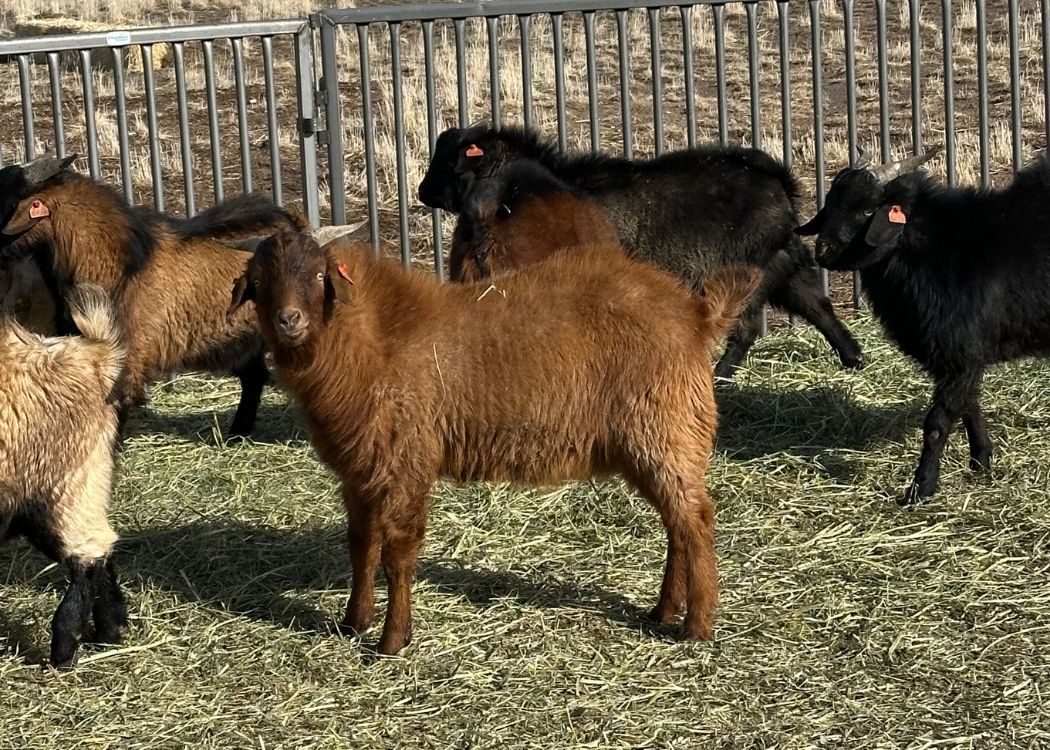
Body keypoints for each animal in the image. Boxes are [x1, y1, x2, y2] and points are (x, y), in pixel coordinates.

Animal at [0, 168, 304, 435]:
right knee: (254, 377)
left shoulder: (131, 350)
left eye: (8, 203)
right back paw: (237, 433)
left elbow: (120, 399)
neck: (123, 264)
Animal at [230, 228, 758, 655]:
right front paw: (352, 622)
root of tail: (695, 313)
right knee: (677, 523)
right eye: (258, 282)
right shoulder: (361, 470)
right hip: (653, 445)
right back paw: (664, 610)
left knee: (696, 520)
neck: (373, 337)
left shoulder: (406, 463)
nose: (289, 320)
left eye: (319, 275)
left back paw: (697, 626)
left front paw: (393, 640)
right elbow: (361, 545)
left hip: (664, 432)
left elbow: (397, 553)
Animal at [418, 123, 863, 378]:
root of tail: (778, 180)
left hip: (748, 272)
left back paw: (719, 376)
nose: (422, 192)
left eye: (449, 161)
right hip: (785, 263)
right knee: (818, 306)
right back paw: (853, 356)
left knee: (748, 328)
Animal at [796, 146, 1050, 503]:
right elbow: (969, 407)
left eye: (868, 210)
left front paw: (920, 488)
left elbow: (937, 423)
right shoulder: (960, 357)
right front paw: (981, 460)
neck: (933, 250)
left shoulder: (961, 352)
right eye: (830, 202)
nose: (823, 252)